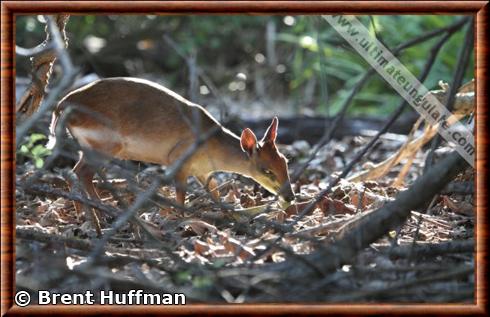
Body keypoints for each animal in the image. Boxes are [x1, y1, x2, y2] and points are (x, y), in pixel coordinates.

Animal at [49, 77, 294, 216]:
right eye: (266, 170)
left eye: (285, 161)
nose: (290, 197)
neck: (212, 145)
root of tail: (61, 105)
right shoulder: (178, 160)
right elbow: (180, 195)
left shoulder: (203, 171)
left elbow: (215, 192)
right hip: (105, 145)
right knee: (83, 172)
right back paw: (104, 210)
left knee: (74, 172)